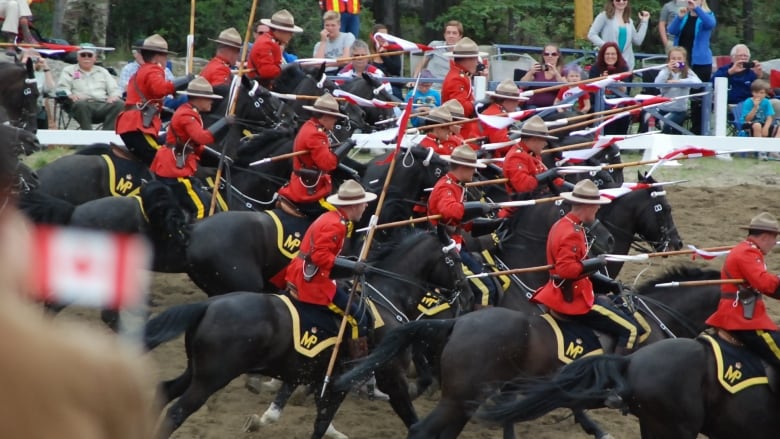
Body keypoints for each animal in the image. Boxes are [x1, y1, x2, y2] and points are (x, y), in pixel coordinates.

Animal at [142, 232, 470, 438]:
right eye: (455, 260)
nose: (466, 292)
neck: (387, 297)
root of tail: (208, 304)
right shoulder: (391, 378)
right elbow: (410, 417)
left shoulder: (334, 383)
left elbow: (321, 424)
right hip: (211, 379)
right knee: (176, 412)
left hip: (196, 371)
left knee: (164, 392)